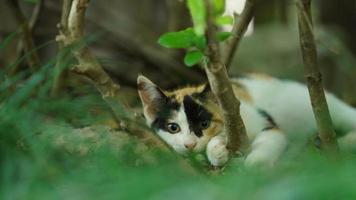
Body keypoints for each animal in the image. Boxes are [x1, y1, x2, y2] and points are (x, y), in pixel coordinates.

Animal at [136, 74, 356, 166]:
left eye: (204, 124)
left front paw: (256, 163)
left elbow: (271, 138)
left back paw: (346, 141)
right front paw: (218, 151)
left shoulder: (265, 122)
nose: (189, 144)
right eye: (173, 128)